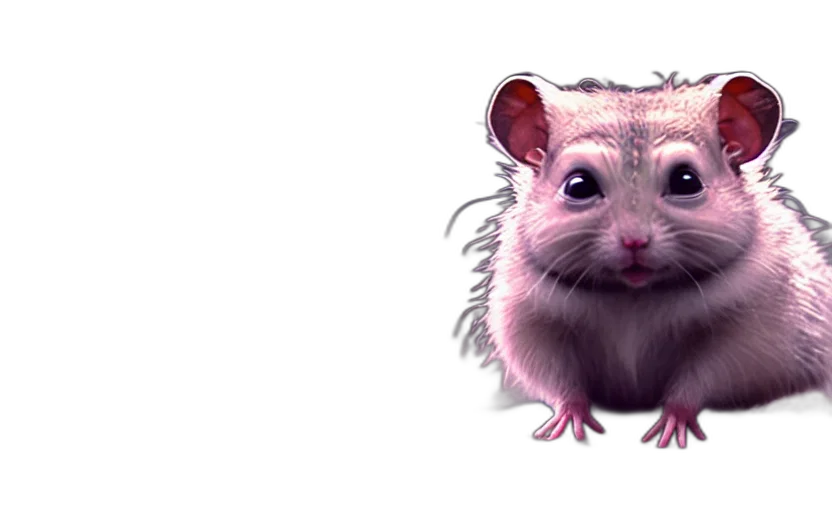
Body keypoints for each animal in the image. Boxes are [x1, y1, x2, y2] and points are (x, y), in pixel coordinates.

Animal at [458, 72, 832, 448]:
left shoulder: (749, 337)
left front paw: (671, 429)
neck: (633, 294)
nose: (634, 241)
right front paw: (567, 425)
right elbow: (558, 381)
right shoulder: (529, 324)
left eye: (687, 181)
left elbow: (699, 382)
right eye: (578, 186)